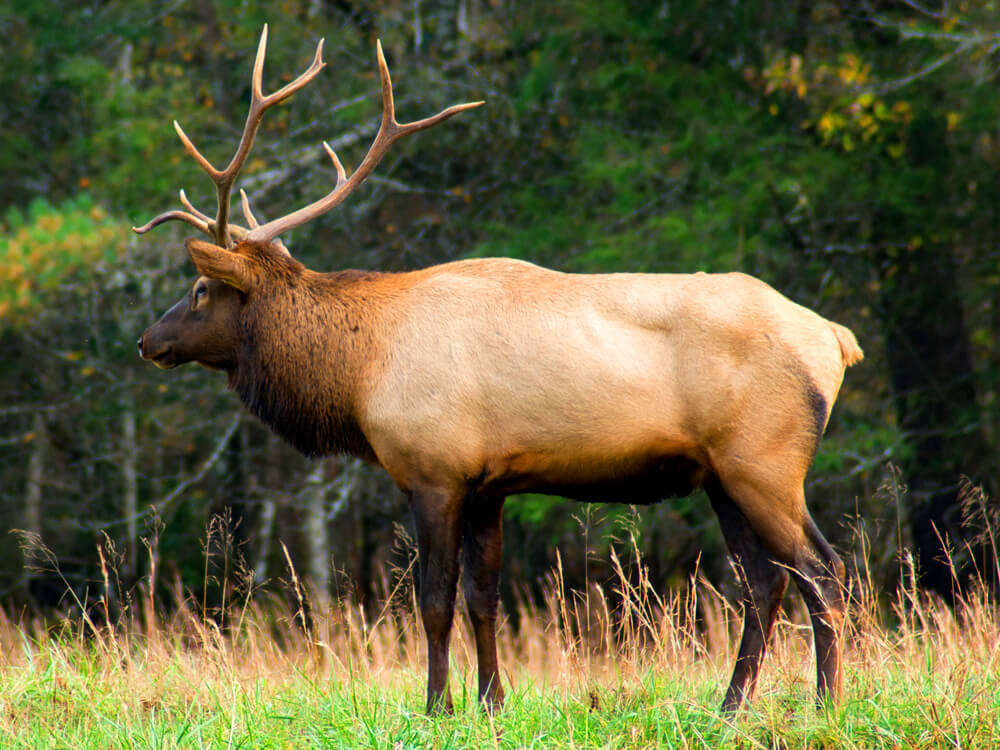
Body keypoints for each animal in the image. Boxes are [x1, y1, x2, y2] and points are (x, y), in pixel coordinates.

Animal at [137, 27, 864, 716]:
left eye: (199, 290)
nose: (148, 341)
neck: (358, 372)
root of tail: (836, 339)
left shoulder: (433, 471)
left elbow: (435, 600)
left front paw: (437, 705)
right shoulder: (489, 483)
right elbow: (484, 599)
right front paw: (491, 700)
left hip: (765, 461)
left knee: (823, 571)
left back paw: (826, 703)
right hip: (719, 474)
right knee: (766, 583)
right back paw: (731, 707)